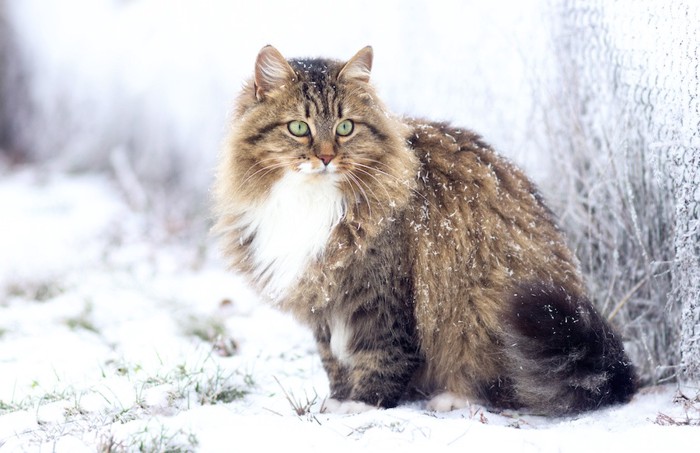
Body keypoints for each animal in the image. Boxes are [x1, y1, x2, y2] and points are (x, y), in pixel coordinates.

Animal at [215, 45, 640, 414]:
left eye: (345, 127)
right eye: (299, 128)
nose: (326, 157)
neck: (310, 200)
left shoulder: (382, 291)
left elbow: (382, 355)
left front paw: (363, 404)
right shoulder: (324, 293)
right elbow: (332, 357)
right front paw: (337, 399)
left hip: (486, 304)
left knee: (504, 387)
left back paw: (452, 398)